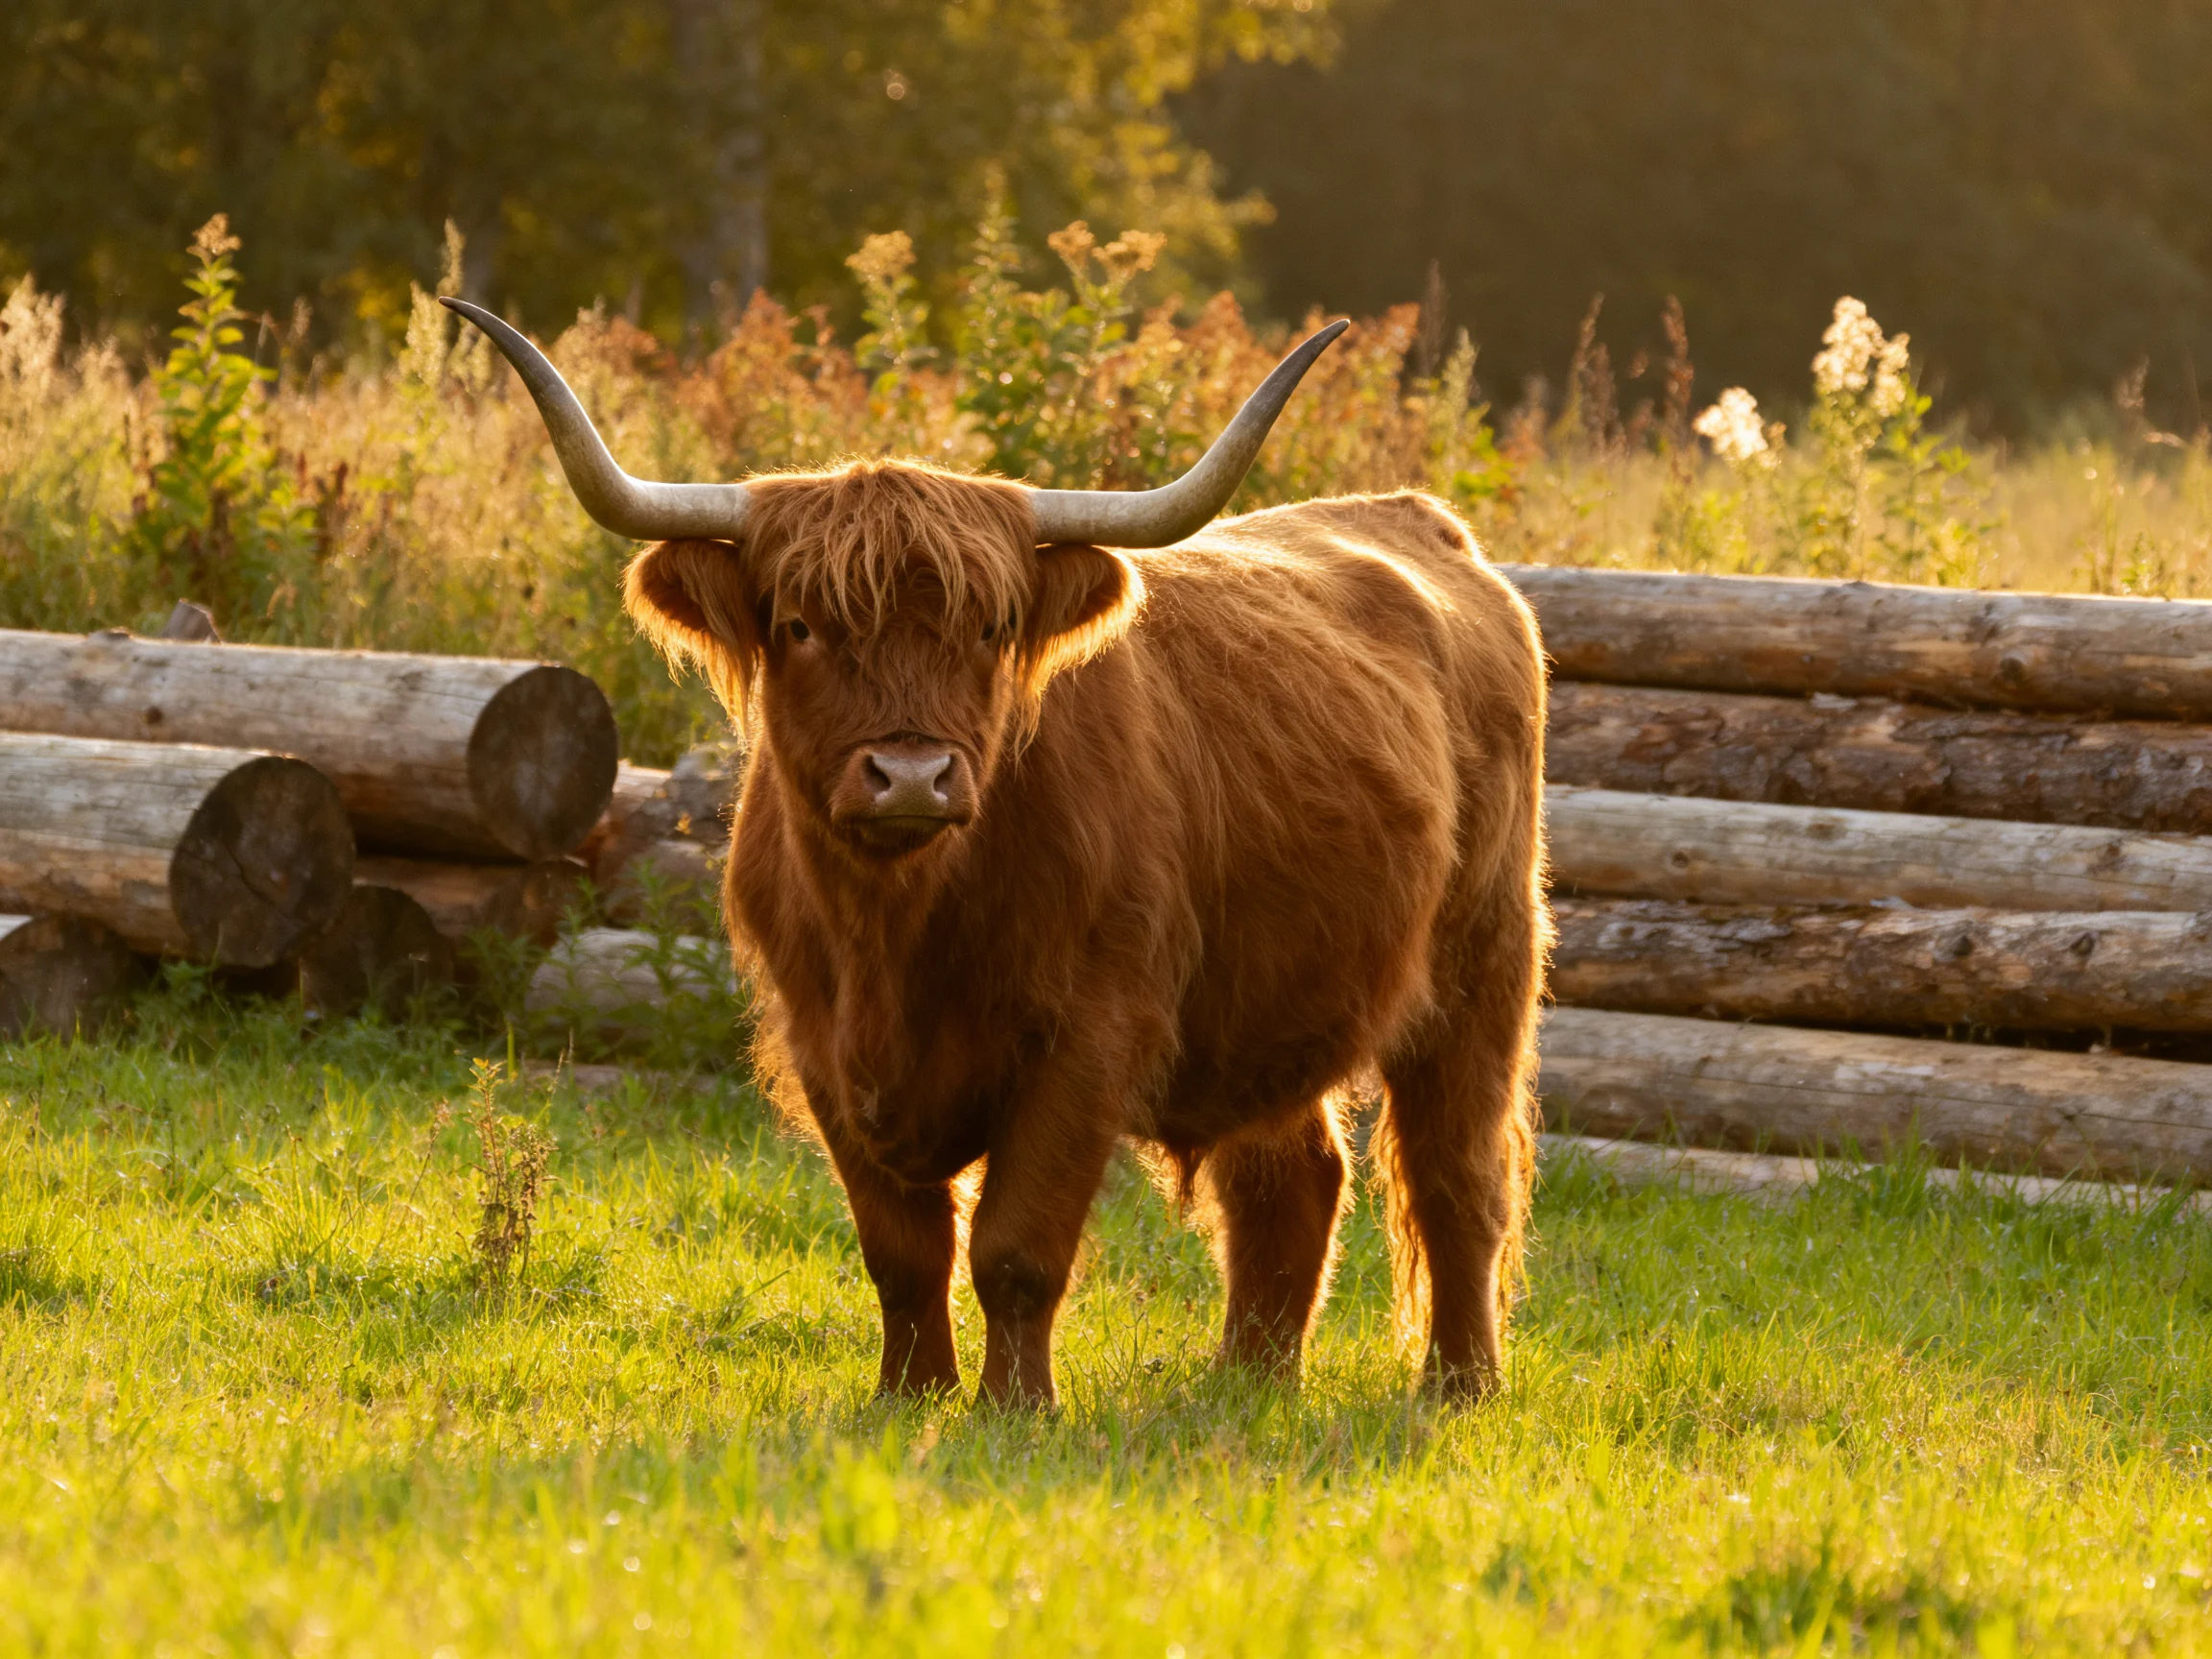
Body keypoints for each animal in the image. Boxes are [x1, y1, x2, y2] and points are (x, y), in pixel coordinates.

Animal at [445, 297, 1549, 1407]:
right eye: (798, 625)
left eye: (988, 626)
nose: (911, 775)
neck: (896, 928)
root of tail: (1420, 523)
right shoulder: (822, 1044)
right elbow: (902, 1252)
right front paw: (911, 1394)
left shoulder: (1089, 1035)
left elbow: (1017, 1248)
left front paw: (1016, 1407)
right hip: (1273, 993)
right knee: (1291, 1176)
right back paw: (1248, 1381)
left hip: (1484, 959)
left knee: (1458, 1174)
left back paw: (1459, 1383)